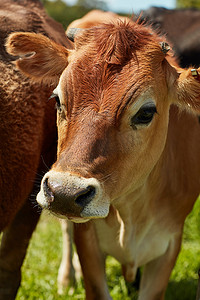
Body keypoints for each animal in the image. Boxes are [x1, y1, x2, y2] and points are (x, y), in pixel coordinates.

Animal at [5, 18, 200, 300]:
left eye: (146, 112)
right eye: (57, 99)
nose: (64, 192)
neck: (132, 213)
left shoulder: (170, 241)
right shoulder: (88, 239)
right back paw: (67, 279)